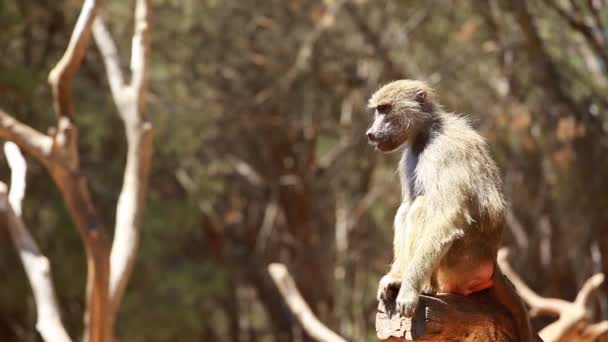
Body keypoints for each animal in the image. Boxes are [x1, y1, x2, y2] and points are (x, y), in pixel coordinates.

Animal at [366, 79, 532, 340]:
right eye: (377, 110)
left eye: (385, 109)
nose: (371, 134)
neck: (426, 133)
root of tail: (492, 262)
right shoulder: (409, 157)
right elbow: (405, 208)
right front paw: (396, 279)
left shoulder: (443, 152)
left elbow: (448, 215)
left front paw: (408, 289)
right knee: (409, 209)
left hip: (463, 266)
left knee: (423, 206)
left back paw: (424, 287)